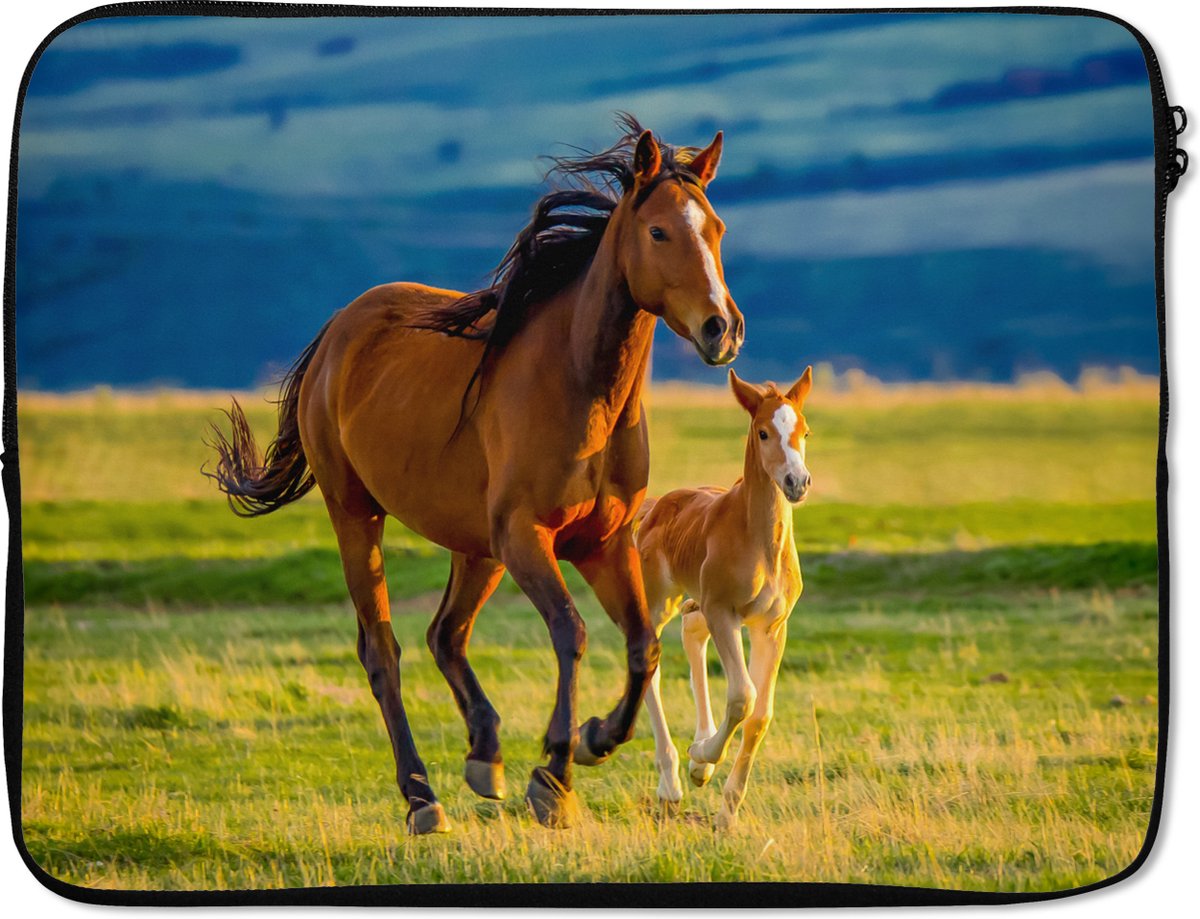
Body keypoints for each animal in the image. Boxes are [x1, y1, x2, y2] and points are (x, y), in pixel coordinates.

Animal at [205, 115, 744, 834]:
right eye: (659, 231)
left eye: (716, 229)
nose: (722, 329)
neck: (581, 389)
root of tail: (338, 331)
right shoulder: (527, 538)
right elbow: (570, 633)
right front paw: (554, 775)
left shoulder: (602, 543)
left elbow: (641, 647)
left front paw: (596, 738)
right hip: (359, 517)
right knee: (383, 651)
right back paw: (421, 796)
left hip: (475, 547)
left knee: (446, 634)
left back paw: (484, 755)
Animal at [635, 366, 812, 828]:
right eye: (764, 432)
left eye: (805, 431)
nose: (797, 483)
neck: (760, 541)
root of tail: (655, 506)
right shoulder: (724, 612)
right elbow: (742, 696)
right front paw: (702, 757)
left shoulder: (771, 626)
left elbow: (761, 714)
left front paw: (727, 812)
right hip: (660, 600)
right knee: (650, 660)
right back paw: (672, 783)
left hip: (697, 604)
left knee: (692, 633)